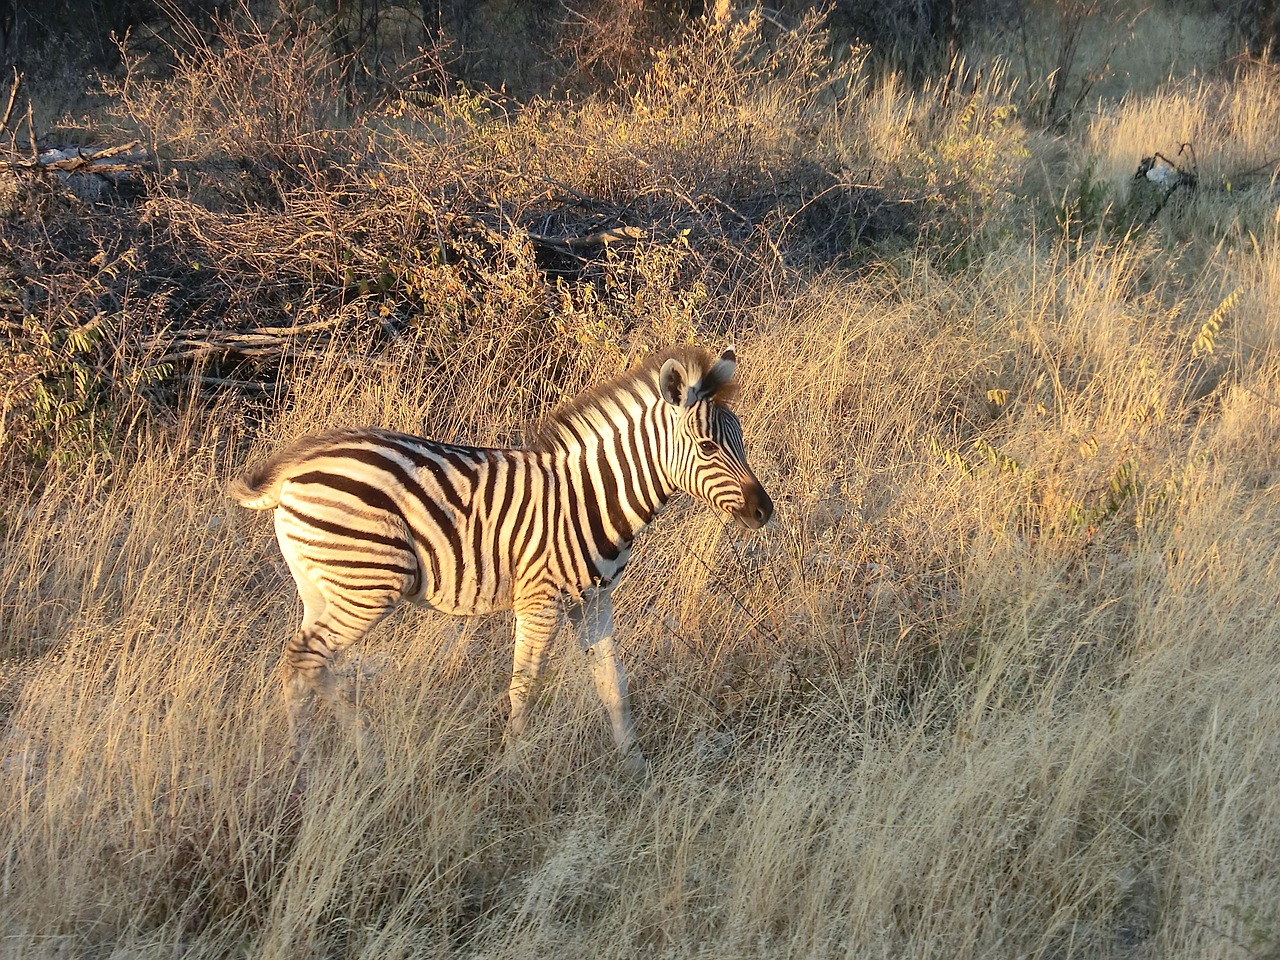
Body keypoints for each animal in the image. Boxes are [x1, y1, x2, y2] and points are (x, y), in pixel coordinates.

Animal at [229, 345, 768, 773]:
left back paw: (328, 763)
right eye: (707, 446)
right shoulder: (541, 598)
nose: (764, 512)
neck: (591, 496)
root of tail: (295, 470)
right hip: (368, 583)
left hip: (324, 587)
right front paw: (510, 769)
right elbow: (524, 685)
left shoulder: (593, 599)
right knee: (306, 657)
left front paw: (635, 767)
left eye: (741, 438)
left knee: (306, 664)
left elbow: (612, 681)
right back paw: (331, 762)